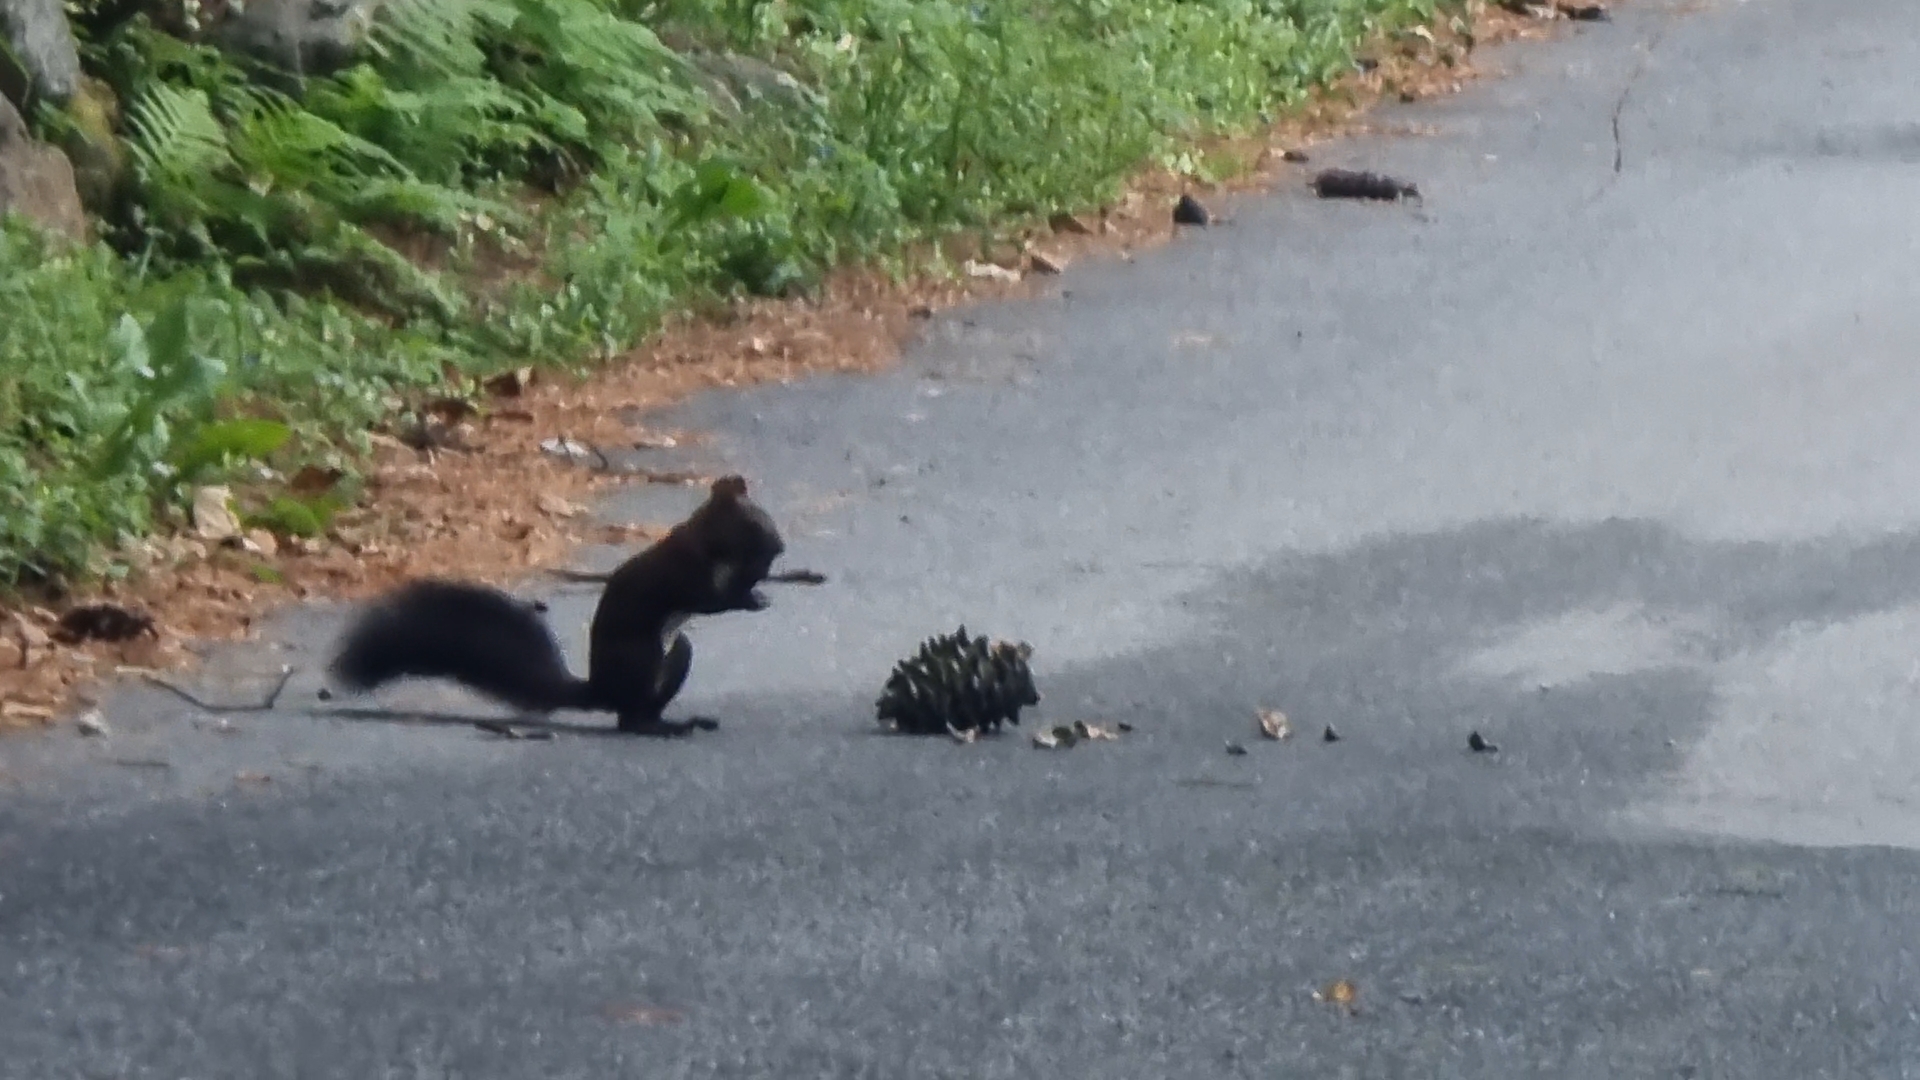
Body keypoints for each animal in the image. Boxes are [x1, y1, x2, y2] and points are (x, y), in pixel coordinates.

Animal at [330, 472, 787, 730]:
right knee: (630, 719)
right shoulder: (683, 574)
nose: (780, 547)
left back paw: (679, 721)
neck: (707, 542)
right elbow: (710, 600)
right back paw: (662, 728)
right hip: (642, 657)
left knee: (640, 710)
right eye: (753, 523)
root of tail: (601, 691)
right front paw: (752, 596)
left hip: (676, 656)